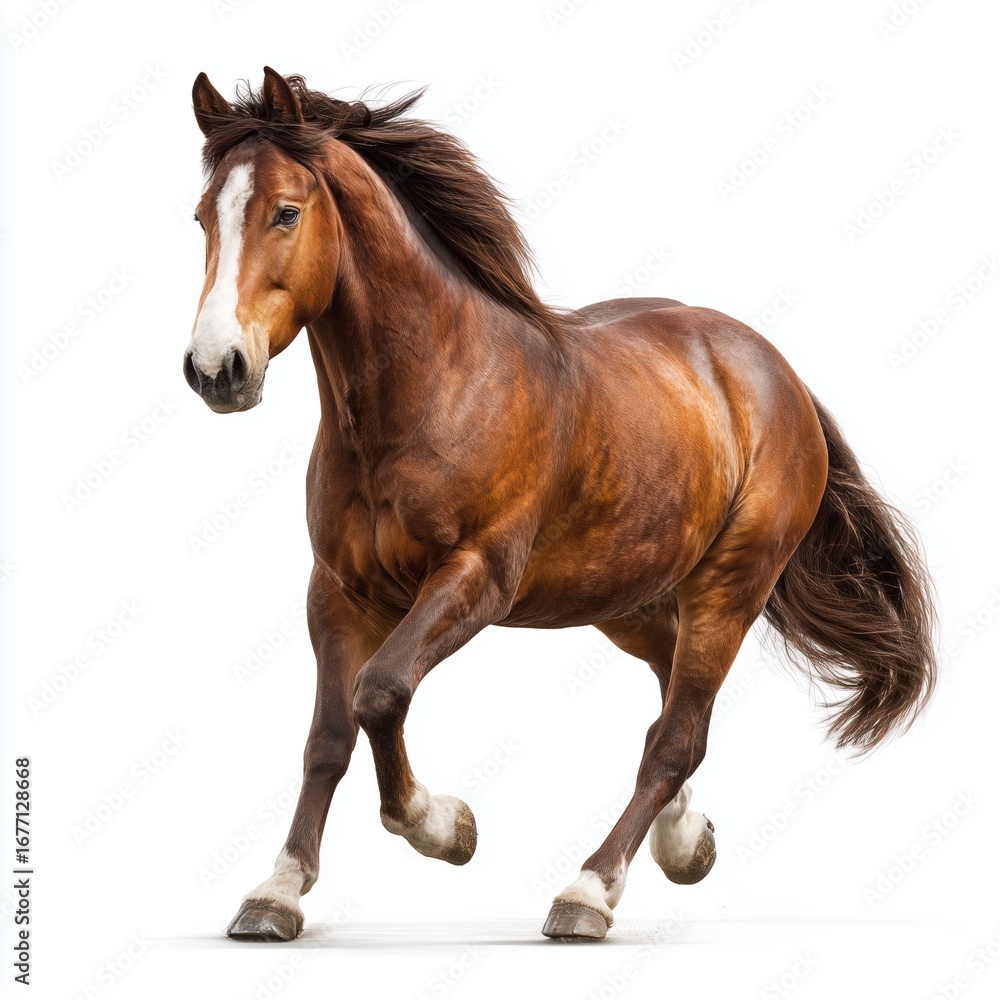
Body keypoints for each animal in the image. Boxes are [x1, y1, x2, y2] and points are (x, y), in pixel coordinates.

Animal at [184, 67, 936, 942]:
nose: (216, 370)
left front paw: (446, 826)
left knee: (676, 737)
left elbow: (383, 691)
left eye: (285, 211)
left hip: (730, 588)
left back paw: (589, 892)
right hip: (623, 597)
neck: (433, 388)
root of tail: (775, 371)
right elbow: (328, 737)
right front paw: (276, 892)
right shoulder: (338, 591)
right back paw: (686, 842)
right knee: (671, 701)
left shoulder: (475, 576)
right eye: (202, 216)